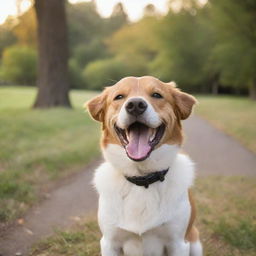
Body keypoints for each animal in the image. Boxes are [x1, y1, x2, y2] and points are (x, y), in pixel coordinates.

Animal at [87, 75, 203, 255]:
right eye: (119, 97)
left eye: (156, 95)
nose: (135, 105)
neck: (142, 179)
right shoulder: (109, 243)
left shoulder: (178, 243)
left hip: (195, 241)